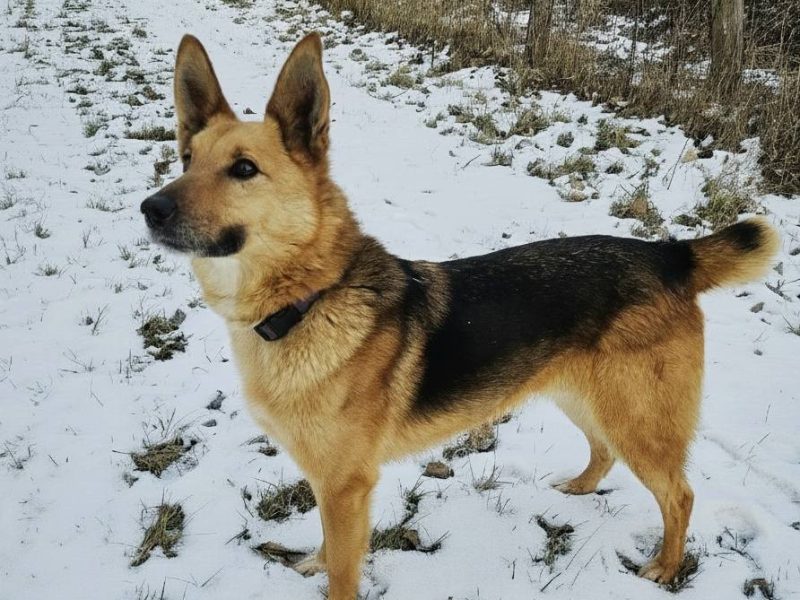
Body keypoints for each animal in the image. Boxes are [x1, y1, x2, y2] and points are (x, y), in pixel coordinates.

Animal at [141, 32, 780, 600]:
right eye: (186, 159)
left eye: (244, 169)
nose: (150, 208)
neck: (308, 300)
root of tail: (669, 254)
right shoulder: (330, 483)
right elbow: (327, 544)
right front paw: (312, 562)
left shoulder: (348, 486)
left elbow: (344, 572)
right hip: (584, 395)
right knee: (604, 450)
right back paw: (578, 487)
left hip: (638, 416)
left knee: (679, 495)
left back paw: (665, 569)